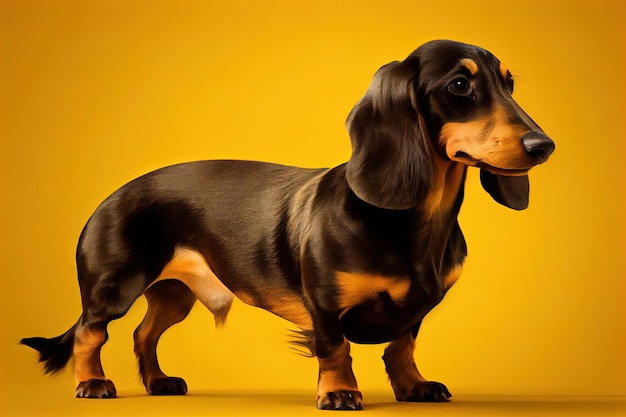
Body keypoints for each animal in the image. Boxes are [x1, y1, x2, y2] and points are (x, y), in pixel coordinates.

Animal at [23, 39, 552, 410]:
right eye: (460, 85)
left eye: (509, 84)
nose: (543, 146)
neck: (418, 223)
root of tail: (111, 196)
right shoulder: (326, 303)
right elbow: (336, 348)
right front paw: (338, 393)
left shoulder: (415, 312)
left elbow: (402, 346)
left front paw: (414, 386)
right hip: (114, 287)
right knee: (90, 333)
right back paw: (93, 383)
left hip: (175, 295)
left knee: (144, 333)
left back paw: (158, 382)